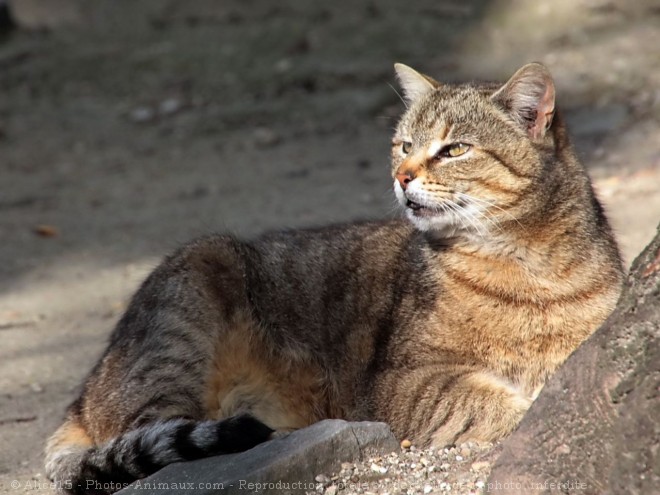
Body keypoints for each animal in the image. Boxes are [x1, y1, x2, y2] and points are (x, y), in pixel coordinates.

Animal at [45, 62, 624, 492]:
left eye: (454, 149)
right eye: (403, 145)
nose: (402, 176)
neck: (528, 266)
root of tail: (83, 393)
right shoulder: (402, 384)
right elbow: (503, 405)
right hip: (192, 292)